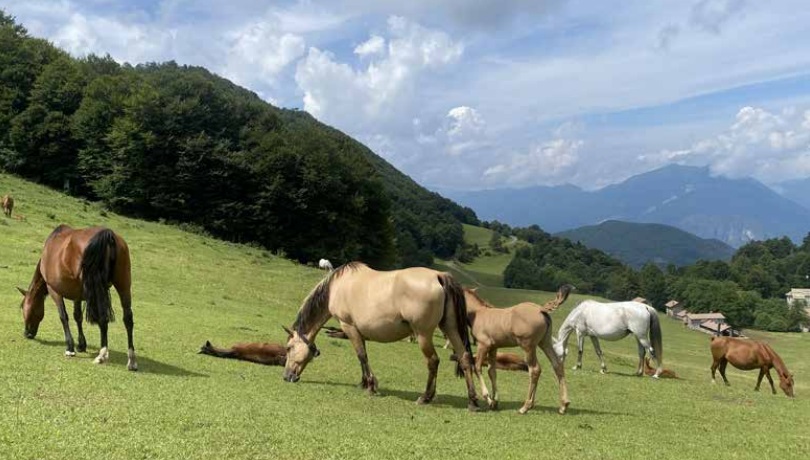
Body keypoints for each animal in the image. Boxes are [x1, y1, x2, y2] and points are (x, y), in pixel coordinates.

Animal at [18, 225, 138, 370]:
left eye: (23, 307)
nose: (27, 333)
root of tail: (108, 235)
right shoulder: (77, 294)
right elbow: (77, 316)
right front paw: (81, 344)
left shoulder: (54, 291)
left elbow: (64, 316)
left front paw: (70, 347)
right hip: (123, 284)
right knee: (128, 319)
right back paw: (131, 360)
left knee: (103, 318)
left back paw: (102, 355)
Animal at [282, 262, 481, 411]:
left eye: (289, 348)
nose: (286, 377)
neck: (336, 287)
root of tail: (439, 276)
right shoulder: (358, 332)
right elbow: (362, 358)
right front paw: (364, 382)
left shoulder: (349, 327)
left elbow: (362, 356)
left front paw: (371, 386)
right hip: (451, 329)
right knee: (464, 358)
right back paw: (473, 401)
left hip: (423, 334)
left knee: (433, 361)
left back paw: (425, 397)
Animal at [464, 285, 573, 414]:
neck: (479, 313)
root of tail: (541, 309)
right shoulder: (493, 348)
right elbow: (492, 371)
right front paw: (495, 402)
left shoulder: (483, 345)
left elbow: (477, 367)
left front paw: (488, 398)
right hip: (545, 343)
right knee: (557, 365)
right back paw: (563, 405)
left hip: (528, 347)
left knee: (535, 370)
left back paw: (525, 407)